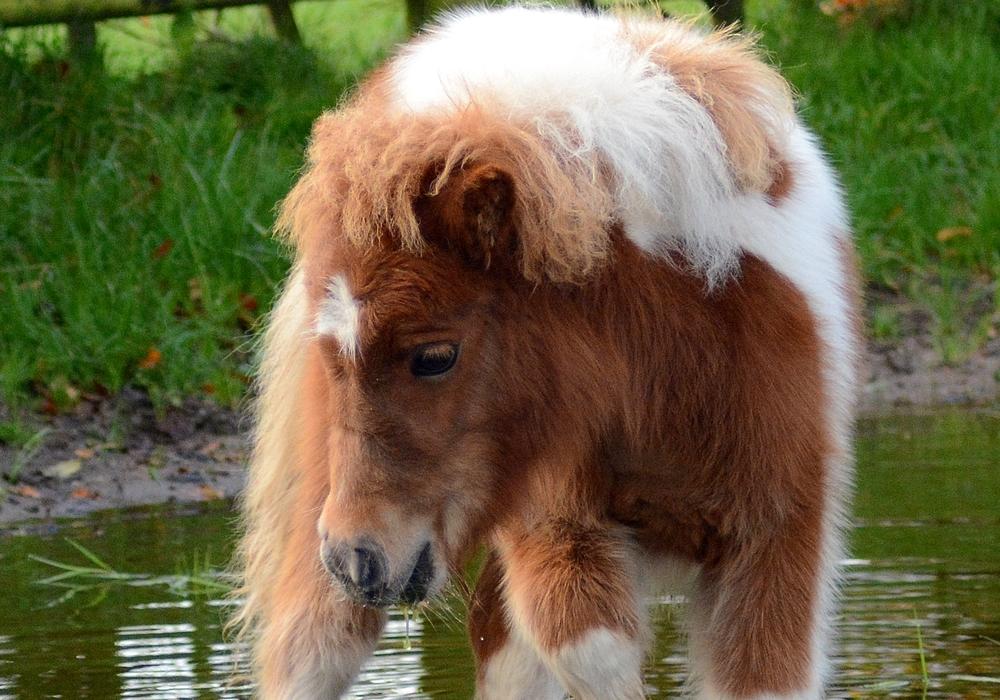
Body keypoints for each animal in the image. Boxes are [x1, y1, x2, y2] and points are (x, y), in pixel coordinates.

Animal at [232, 6, 860, 700]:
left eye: (434, 356)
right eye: (332, 357)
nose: (356, 560)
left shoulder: (778, 534)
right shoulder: (557, 518)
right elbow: (591, 654)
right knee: (309, 651)